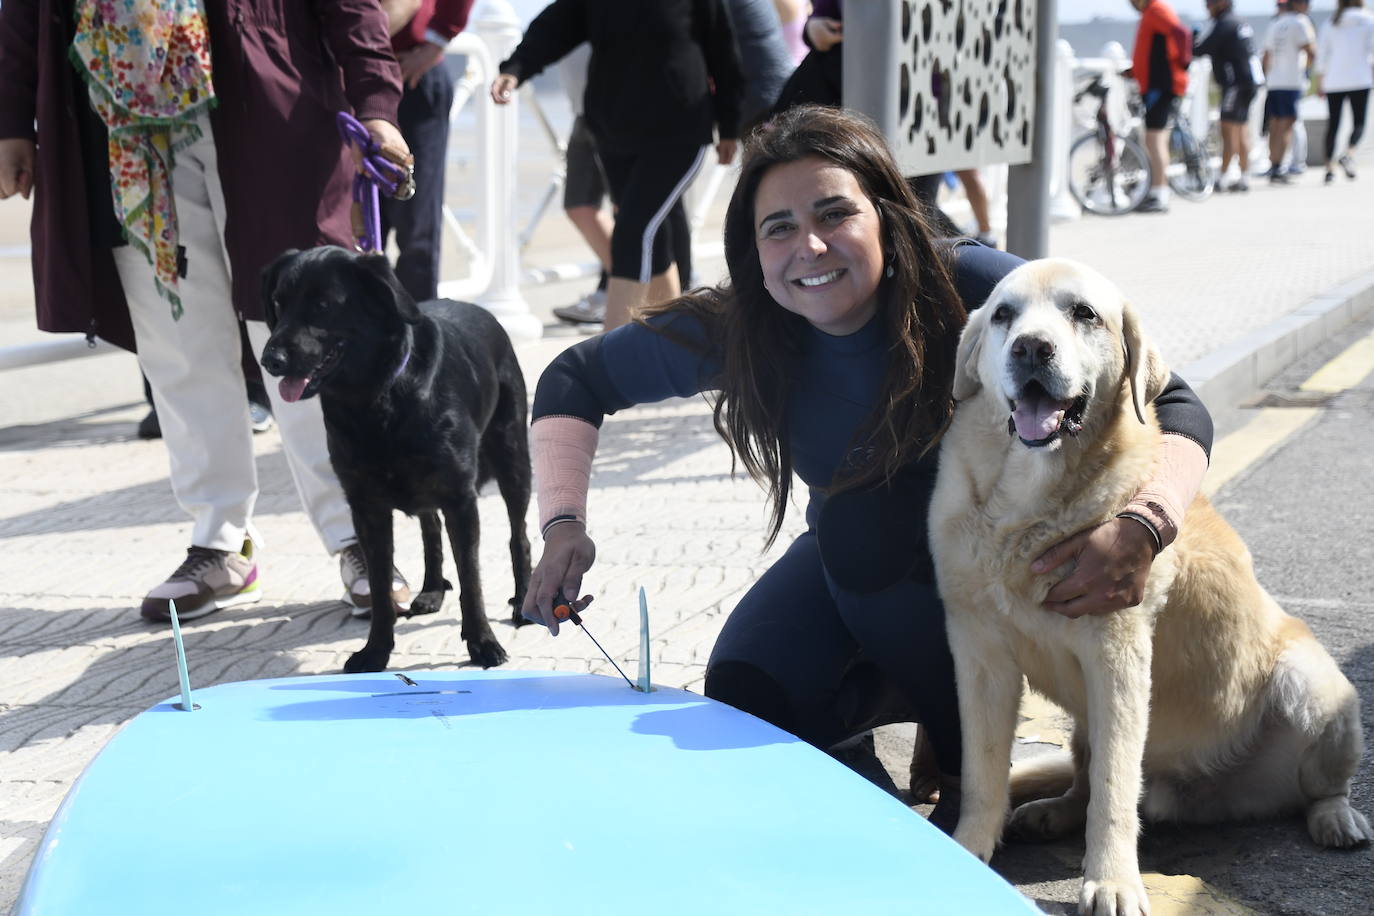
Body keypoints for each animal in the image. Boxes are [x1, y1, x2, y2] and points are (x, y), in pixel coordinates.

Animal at [258, 247, 530, 670]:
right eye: (278, 303)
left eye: (322, 305)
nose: (270, 359)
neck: (374, 398)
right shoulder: (366, 507)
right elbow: (380, 586)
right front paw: (375, 651)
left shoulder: (460, 499)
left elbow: (471, 580)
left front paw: (482, 641)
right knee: (430, 530)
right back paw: (432, 590)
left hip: (513, 458)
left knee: (520, 536)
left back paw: (524, 601)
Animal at [928, 258, 1368, 916]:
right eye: (1004, 314)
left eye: (1083, 313)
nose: (1031, 347)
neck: (1030, 505)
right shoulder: (979, 655)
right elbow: (984, 772)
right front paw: (967, 850)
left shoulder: (1119, 657)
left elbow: (1114, 789)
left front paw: (1112, 882)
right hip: (1084, 721)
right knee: (1083, 781)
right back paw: (1053, 812)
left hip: (1313, 684)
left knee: (1320, 784)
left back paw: (1335, 819)